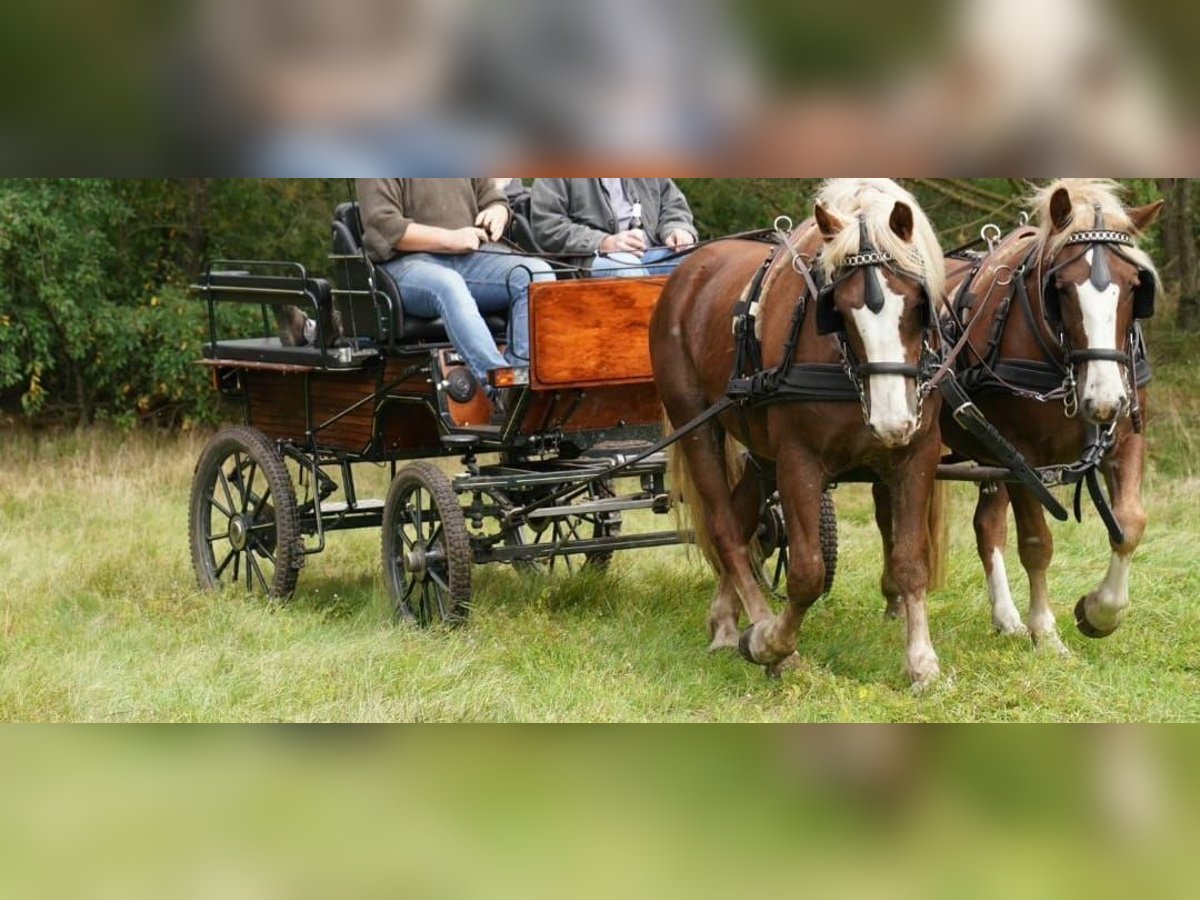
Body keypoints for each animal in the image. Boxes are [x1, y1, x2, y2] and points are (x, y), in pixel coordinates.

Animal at [650, 179, 949, 688]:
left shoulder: (916, 454)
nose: (892, 421)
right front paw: (773, 644)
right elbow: (807, 572)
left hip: (760, 451)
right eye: (840, 312)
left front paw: (921, 661)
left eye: (915, 305)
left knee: (744, 521)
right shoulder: (799, 459)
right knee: (726, 528)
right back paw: (756, 627)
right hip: (698, 424)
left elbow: (912, 561)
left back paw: (725, 622)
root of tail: (689, 269)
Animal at [937, 178, 1162, 653]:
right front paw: (1045, 631)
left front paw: (1100, 612)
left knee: (987, 526)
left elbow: (1130, 523)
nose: (1104, 399)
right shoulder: (1022, 457)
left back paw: (1005, 618)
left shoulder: (1126, 437)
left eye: (1136, 286)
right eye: (1060, 287)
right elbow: (1037, 542)